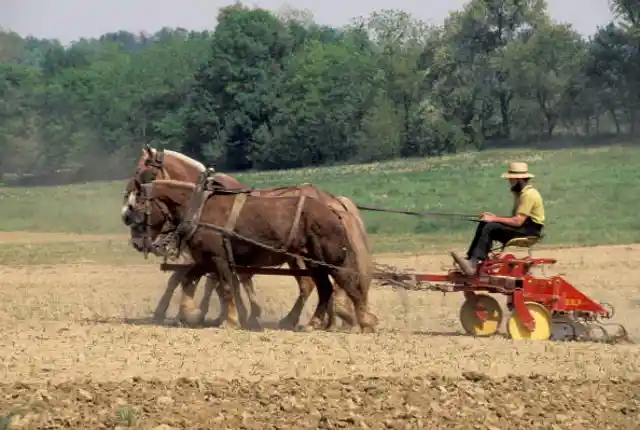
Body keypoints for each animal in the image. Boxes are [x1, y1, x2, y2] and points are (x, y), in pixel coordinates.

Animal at [122, 144, 372, 330]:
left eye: (141, 171)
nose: (125, 213)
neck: (201, 204)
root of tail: (334, 203)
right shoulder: (209, 257)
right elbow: (200, 281)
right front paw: (200, 314)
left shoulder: (217, 257)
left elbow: (219, 284)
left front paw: (228, 318)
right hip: (310, 261)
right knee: (324, 287)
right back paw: (329, 320)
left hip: (312, 259)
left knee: (323, 284)